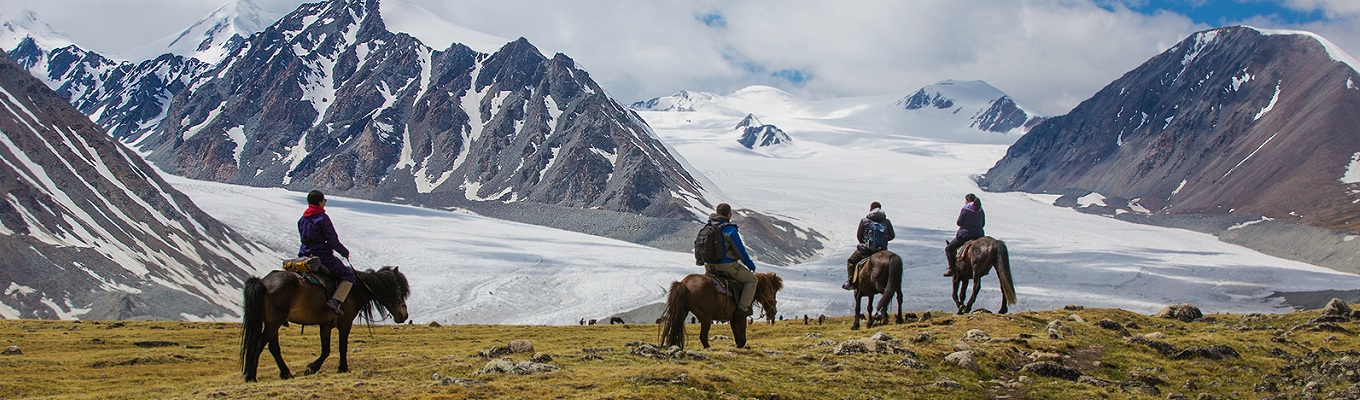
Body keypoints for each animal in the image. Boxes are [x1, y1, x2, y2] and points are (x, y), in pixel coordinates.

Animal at [239, 265, 408, 380]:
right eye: (400, 290)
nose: (404, 315)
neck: (356, 289)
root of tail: (263, 282)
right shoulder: (345, 323)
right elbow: (342, 346)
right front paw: (343, 368)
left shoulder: (325, 325)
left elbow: (326, 349)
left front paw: (311, 368)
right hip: (273, 323)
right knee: (259, 344)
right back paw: (250, 376)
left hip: (273, 323)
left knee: (273, 347)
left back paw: (286, 373)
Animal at [660, 272, 788, 351]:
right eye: (773, 290)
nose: (773, 312)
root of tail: (684, 283)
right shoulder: (741, 317)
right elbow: (742, 338)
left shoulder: (733, 318)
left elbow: (737, 336)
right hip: (706, 317)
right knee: (703, 336)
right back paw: (709, 348)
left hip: (682, 313)